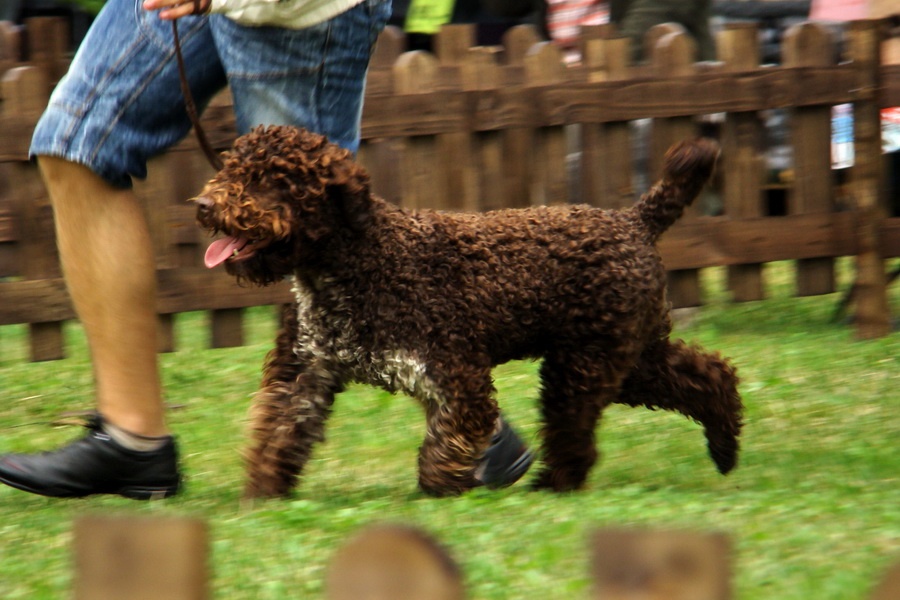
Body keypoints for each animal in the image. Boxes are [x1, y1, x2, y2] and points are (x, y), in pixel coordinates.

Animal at [193, 125, 740, 496]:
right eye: (230, 168)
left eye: (269, 180)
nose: (202, 205)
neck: (357, 260)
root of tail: (634, 220)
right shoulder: (306, 372)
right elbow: (278, 434)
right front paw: (262, 493)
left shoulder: (457, 378)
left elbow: (444, 448)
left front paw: (443, 492)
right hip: (624, 357)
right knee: (709, 376)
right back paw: (725, 449)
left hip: (584, 366)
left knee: (577, 434)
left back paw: (556, 483)